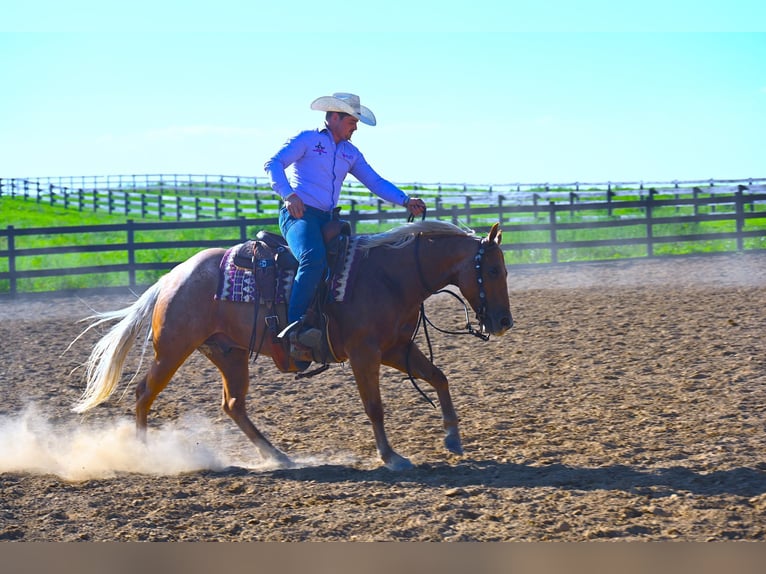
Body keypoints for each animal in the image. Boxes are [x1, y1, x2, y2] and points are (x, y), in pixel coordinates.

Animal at [73, 220, 516, 472]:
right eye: (493, 269)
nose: (503, 322)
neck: (390, 275)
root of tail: (172, 277)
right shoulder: (365, 354)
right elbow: (375, 406)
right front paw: (392, 458)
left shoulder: (396, 348)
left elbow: (439, 378)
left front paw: (452, 438)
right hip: (172, 349)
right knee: (144, 393)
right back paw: (146, 455)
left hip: (230, 355)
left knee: (233, 405)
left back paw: (279, 457)